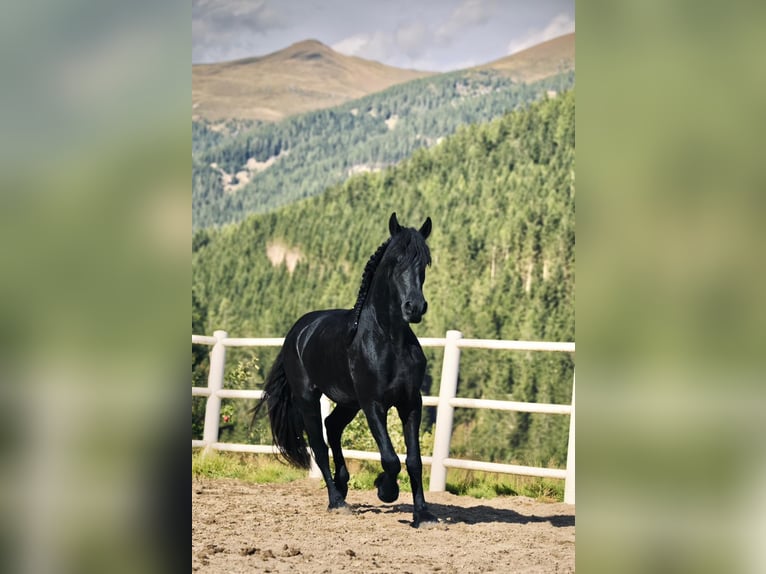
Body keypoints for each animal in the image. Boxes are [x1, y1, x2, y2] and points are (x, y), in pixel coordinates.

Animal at [252, 212, 438, 527]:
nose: (414, 307)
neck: (388, 341)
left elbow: (414, 460)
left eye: (424, 262)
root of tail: (299, 331)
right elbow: (390, 459)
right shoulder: (373, 404)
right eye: (395, 260)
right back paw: (337, 501)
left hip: (348, 402)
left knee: (333, 426)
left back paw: (342, 483)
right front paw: (385, 490)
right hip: (309, 399)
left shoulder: (411, 403)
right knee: (319, 445)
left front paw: (423, 514)